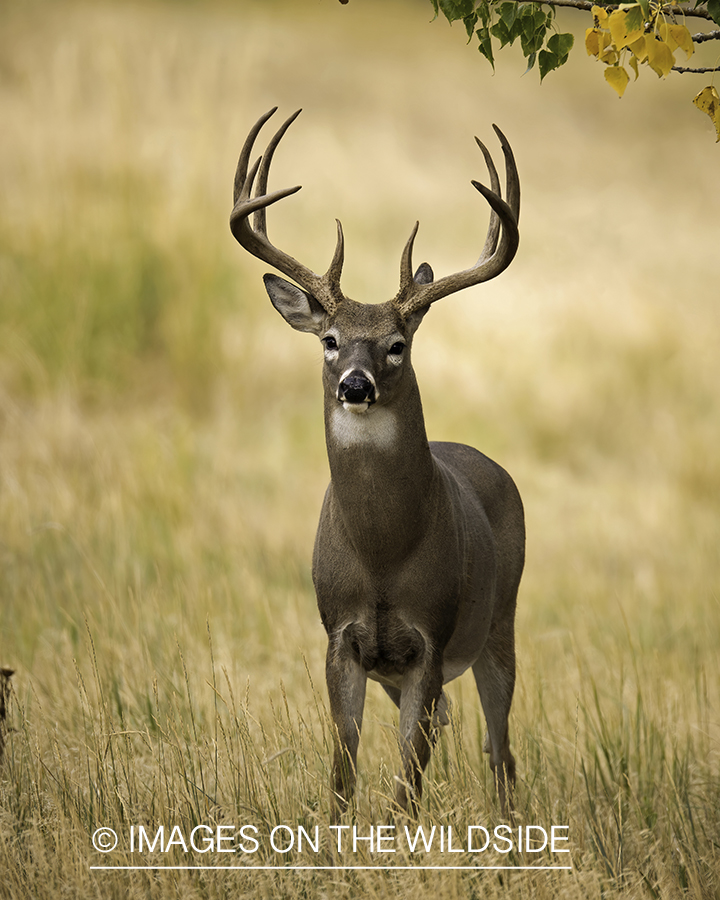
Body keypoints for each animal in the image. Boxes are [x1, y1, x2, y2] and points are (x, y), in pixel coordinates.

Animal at [233, 109, 524, 820]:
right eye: (331, 340)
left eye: (396, 345)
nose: (356, 385)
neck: (383, 553)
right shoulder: (340, 637)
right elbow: (344, 768)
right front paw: (336, 836)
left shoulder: (431, 640)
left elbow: (407, 782)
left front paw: (397, 837)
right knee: (455, 730)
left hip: (499, 620)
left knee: (501, 749)